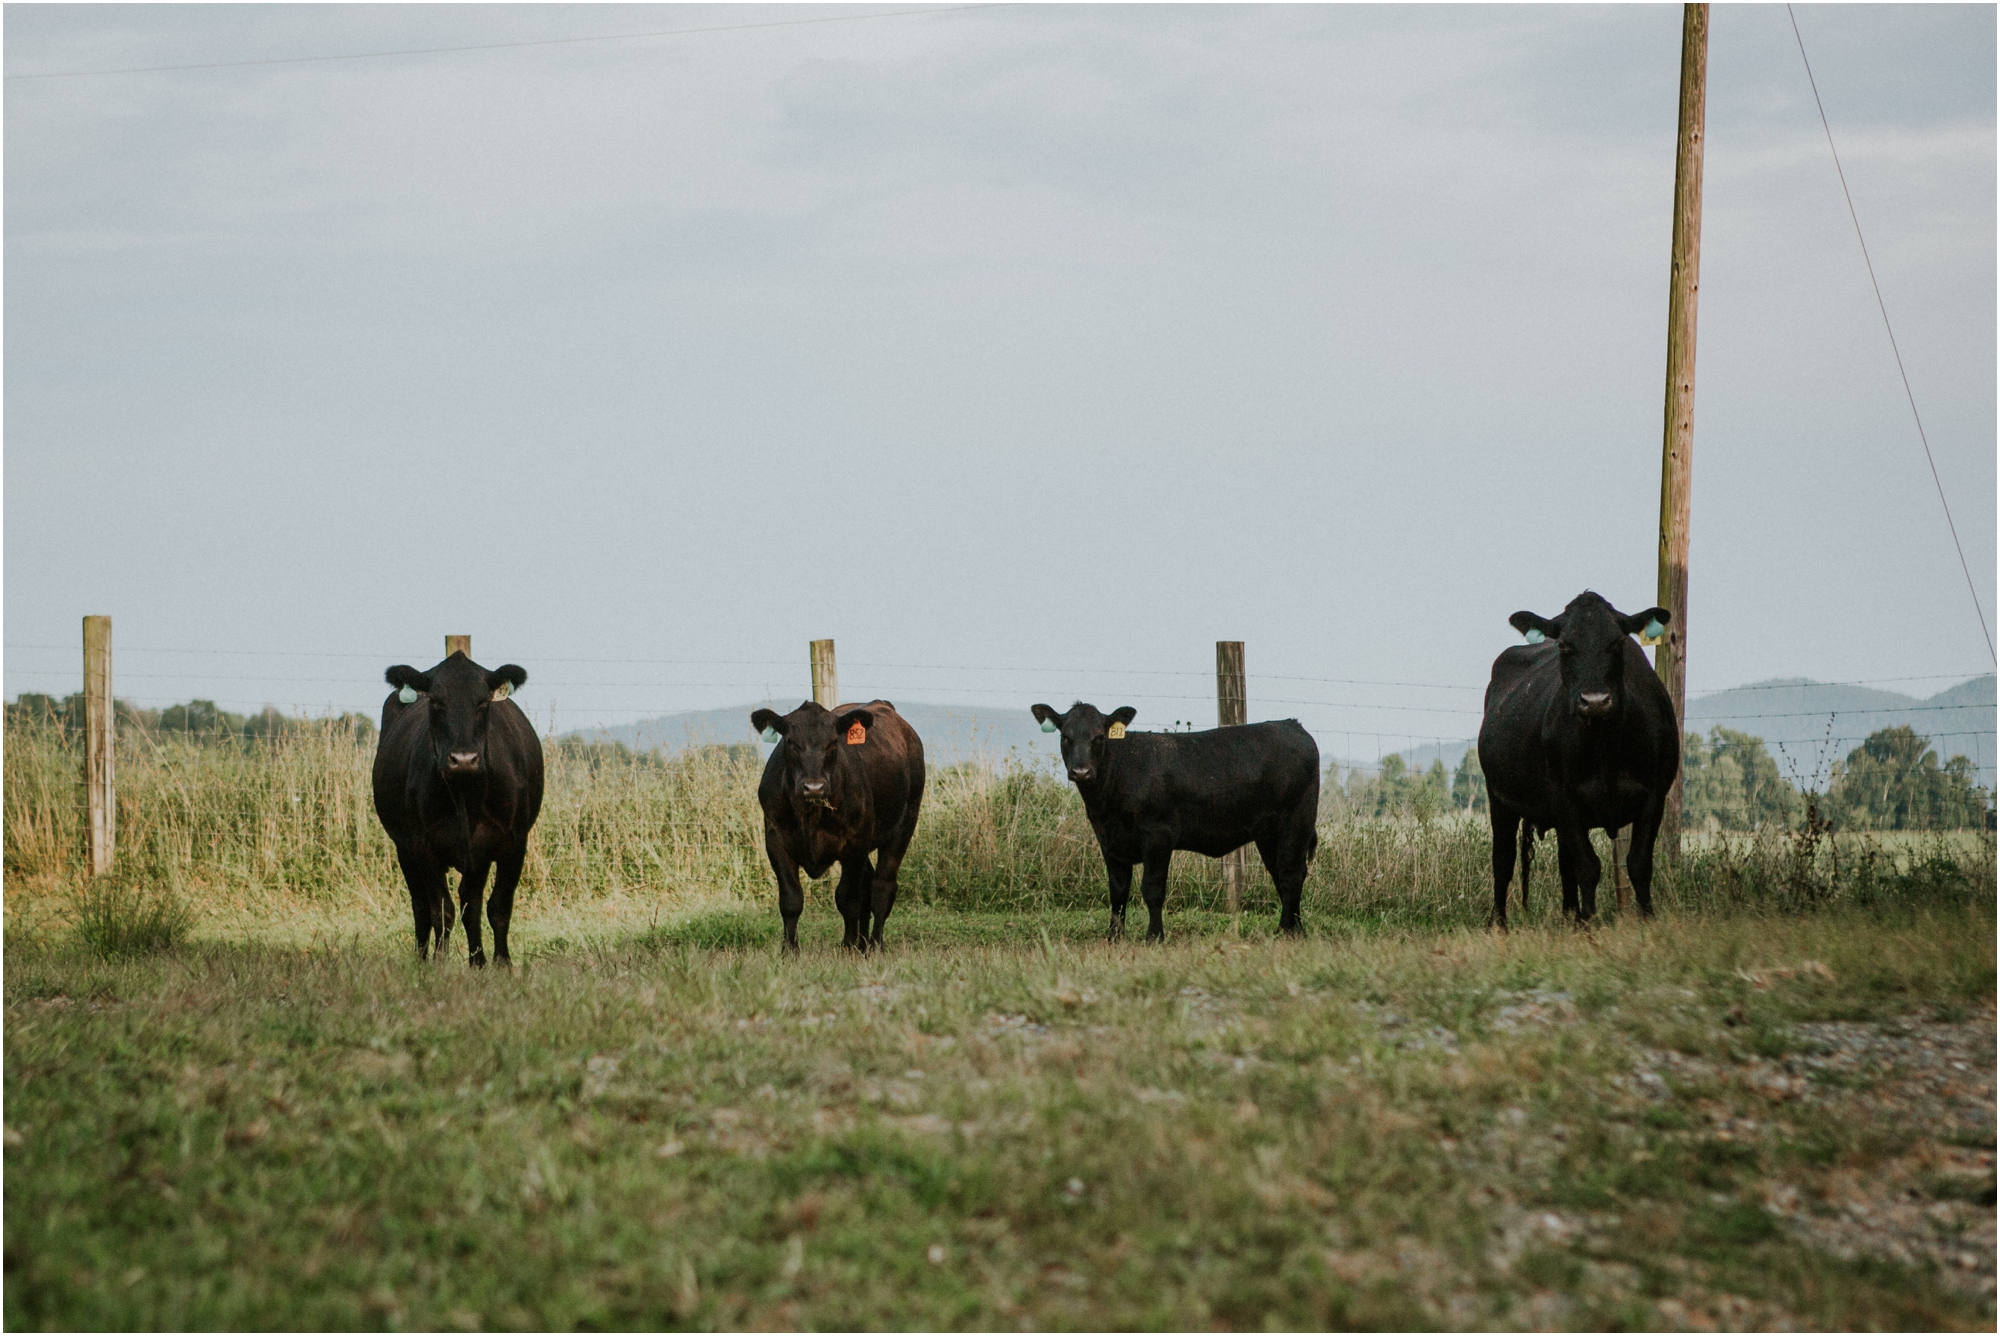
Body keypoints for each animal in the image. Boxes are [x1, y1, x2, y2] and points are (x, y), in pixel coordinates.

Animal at [372, 652, 544, 964]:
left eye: (483, 702)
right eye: (435, 701)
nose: (463, 759)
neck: (466, 796)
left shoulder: (514, 842)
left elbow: (498, 907)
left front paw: (502, 963)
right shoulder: (423, 844)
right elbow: (441, 910)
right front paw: (439, 962)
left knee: (470, 903)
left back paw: (477, 961)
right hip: (404, 849)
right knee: (421, 905)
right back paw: (422, 958)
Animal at [752, 696, 928, 956]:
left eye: (833, 742)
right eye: (791, 741)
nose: (814, 787)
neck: (810, 815)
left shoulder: (854, 844)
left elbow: (848, 899)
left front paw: (848, 946)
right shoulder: (775, 841)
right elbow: (791, 899)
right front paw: (790, 950)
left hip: (903, 826)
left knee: (881, 887)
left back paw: (874, 944)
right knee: (868, 883)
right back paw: (863, 944)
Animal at [1024, 700, 1320, 940]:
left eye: (1098, 737)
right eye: (1066, 737)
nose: (1081, 771)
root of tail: (1292, 725)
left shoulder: (1158, 836)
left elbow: (1152, 889)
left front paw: (1154, 936)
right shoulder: (1109, 841)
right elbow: (1118, 890)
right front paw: (1114, 937)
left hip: (1296, 821)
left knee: (1292, 873)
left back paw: (1286, 931)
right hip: (1268, 833)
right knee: (1281, 873)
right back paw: (1295, 928)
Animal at [1480, 588, 1680, 924]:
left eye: (1617, 642)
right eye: (1565, 645)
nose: (1595, 701)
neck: (1607, 747)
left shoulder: (1655, 794)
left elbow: (1638, 863)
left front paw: (1646, 921)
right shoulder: (1565, 798)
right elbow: (1587, 867)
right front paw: (1589, 925)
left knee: (1564, 864)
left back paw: (1569, 918)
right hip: (1499, 798)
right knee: (1503, 861)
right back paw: (1500, 925)